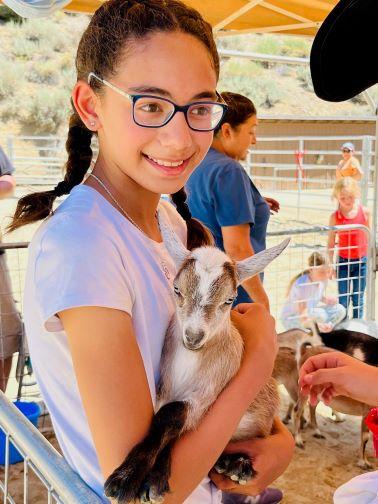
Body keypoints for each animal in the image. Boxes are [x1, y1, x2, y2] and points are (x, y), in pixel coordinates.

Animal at [104, 225, 290, 504]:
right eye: (177, 289)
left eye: (229, 300)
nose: (193, 336)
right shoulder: (164, 389)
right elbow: (164, 417)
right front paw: (147, 477)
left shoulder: (207, 397)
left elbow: (172, 415)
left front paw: (129, 479)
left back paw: (238, 466)